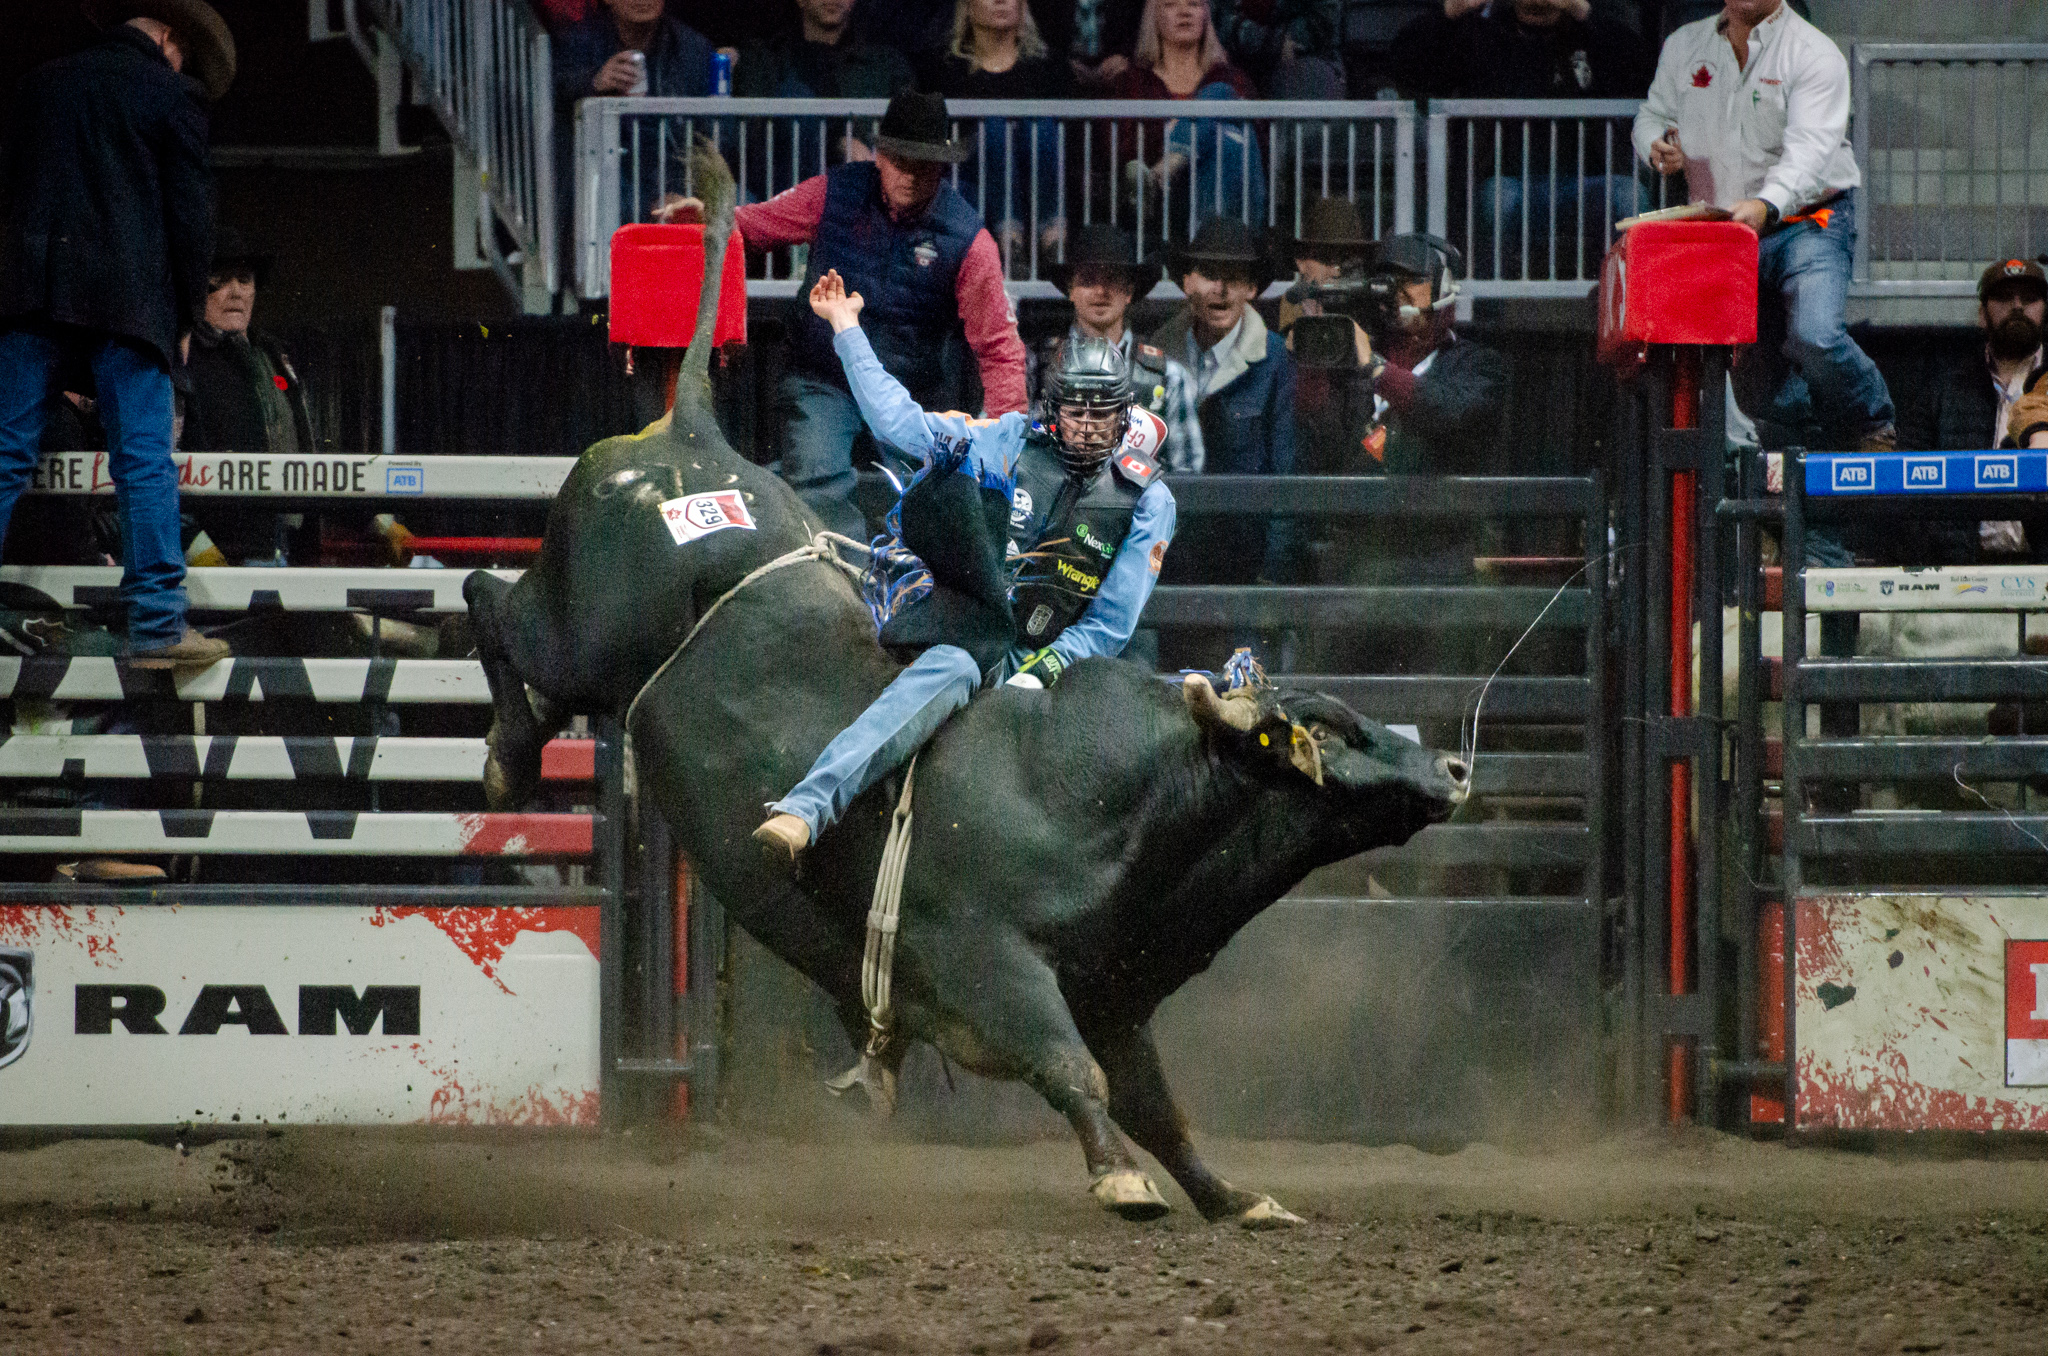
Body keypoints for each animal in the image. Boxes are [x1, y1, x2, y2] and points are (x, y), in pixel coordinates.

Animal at [460, 151, 1474, 1229]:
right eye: (1325, 725)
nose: (1454, 768)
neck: (1130, 808)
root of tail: (688, 438)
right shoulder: (988, 965)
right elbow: (1071, 1071)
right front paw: (1119, 1179)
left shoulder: (1112, 997)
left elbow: (1162, 1111)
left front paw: (1234, 1198)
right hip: (581, 632)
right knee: (488, 598)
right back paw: (512, 763)